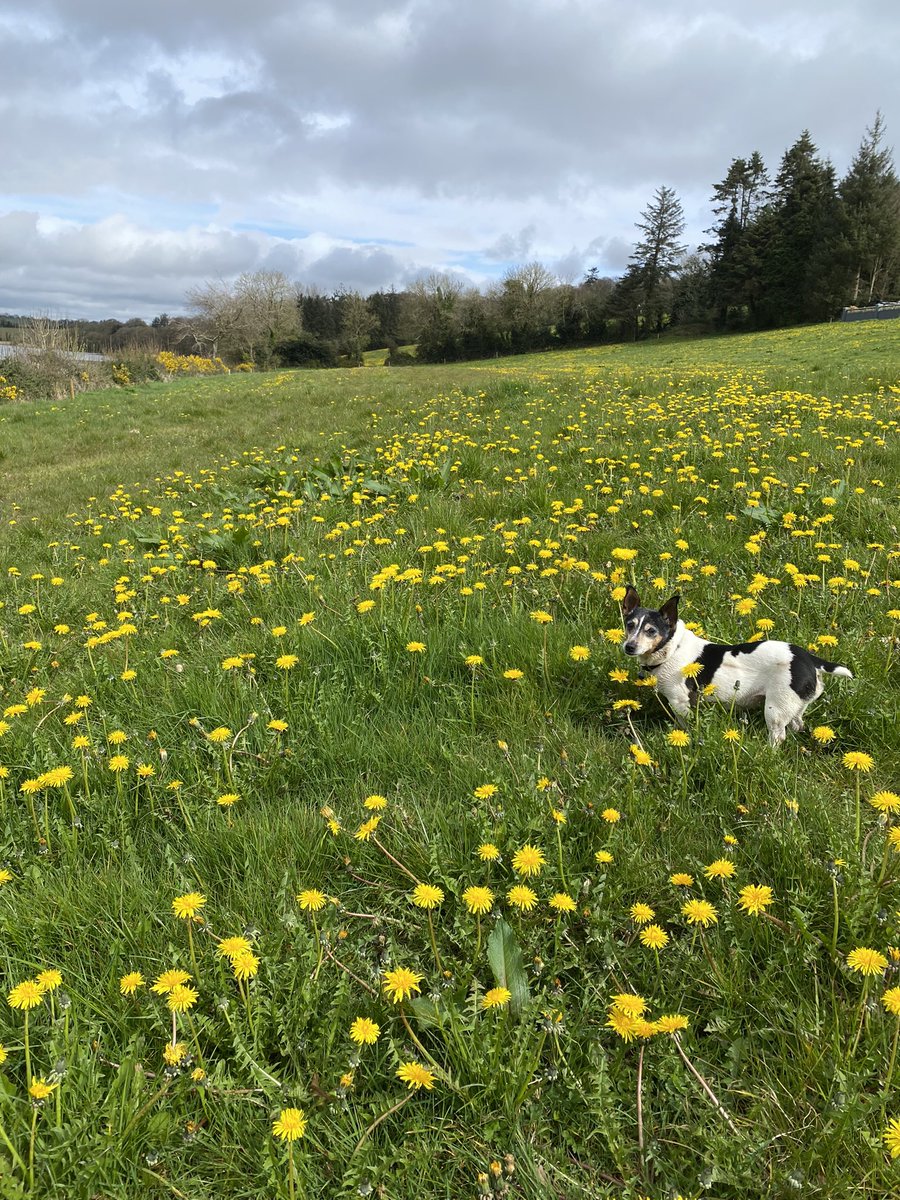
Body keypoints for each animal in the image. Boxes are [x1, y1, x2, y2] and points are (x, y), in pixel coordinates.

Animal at [619, 585, 854, 744]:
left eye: (651, 631)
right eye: (629, 625)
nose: (629, 647)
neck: (671, 648)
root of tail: (808, 659)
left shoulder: (680, 702)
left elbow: (684, 725)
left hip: (775, 710)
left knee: (778, 736)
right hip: (794, 705)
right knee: (797, 724)